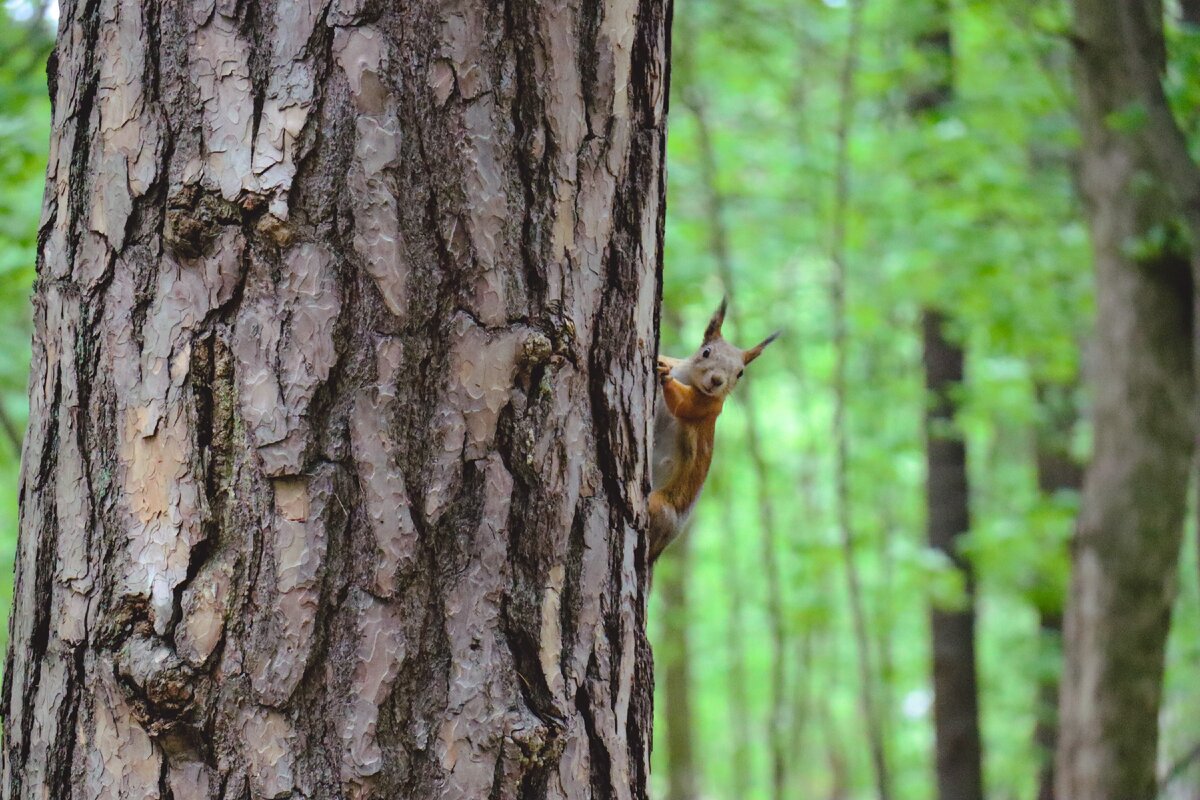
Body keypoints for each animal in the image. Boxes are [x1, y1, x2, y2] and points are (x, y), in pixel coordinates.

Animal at [648, 297, 777, 566]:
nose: (717, 381)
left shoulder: (707, 407)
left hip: (661, 507)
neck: (687, 377)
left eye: (740, 372)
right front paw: (662, 362)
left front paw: (665, 375)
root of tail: (661, 548)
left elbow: (684, 405)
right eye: (706, 352)